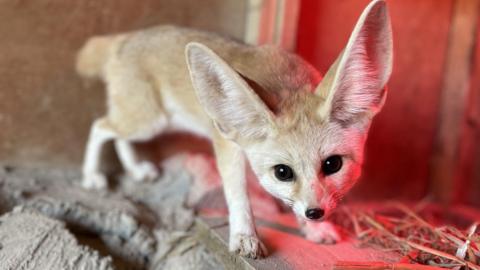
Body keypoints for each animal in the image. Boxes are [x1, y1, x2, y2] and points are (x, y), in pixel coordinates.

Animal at [75, 0, 390, 258]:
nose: (315, 213)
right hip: (147, 121)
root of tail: (125, 38)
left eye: (333, 164)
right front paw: (244, 236)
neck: (287, 82)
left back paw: (136, 169)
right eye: (283, 172)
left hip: (146, 123)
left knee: (113, 132)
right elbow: (237, 193)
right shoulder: (228, 142)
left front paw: (315, 229)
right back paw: (91, 176)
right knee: (99, 125)